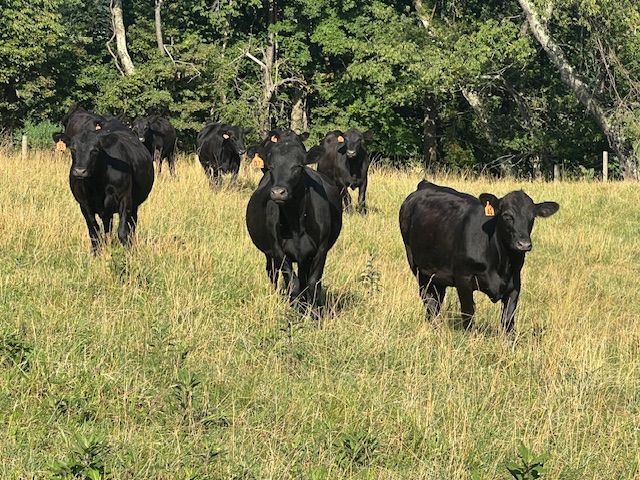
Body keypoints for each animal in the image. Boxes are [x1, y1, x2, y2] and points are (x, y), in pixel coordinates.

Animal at [246, 129, 343, 311]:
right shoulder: (278, 251)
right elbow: (293, 283)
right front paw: (294, 309)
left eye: (298, 166)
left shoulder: (320, 250)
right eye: (272, 166)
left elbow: (313, 283)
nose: (278, 192)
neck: (296, 223)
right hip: (270, 254)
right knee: (273, 274)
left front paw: (313, 312)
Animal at [399, 180, 559, 333]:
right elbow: (468, 314)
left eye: (532, 217)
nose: (524, 244)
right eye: (507, 216)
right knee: (429, 300)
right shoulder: (463, 279)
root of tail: (425, 184)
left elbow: (508, 321)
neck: (502, 263)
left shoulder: (515, 284)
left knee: (437, 299)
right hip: (418, 268)